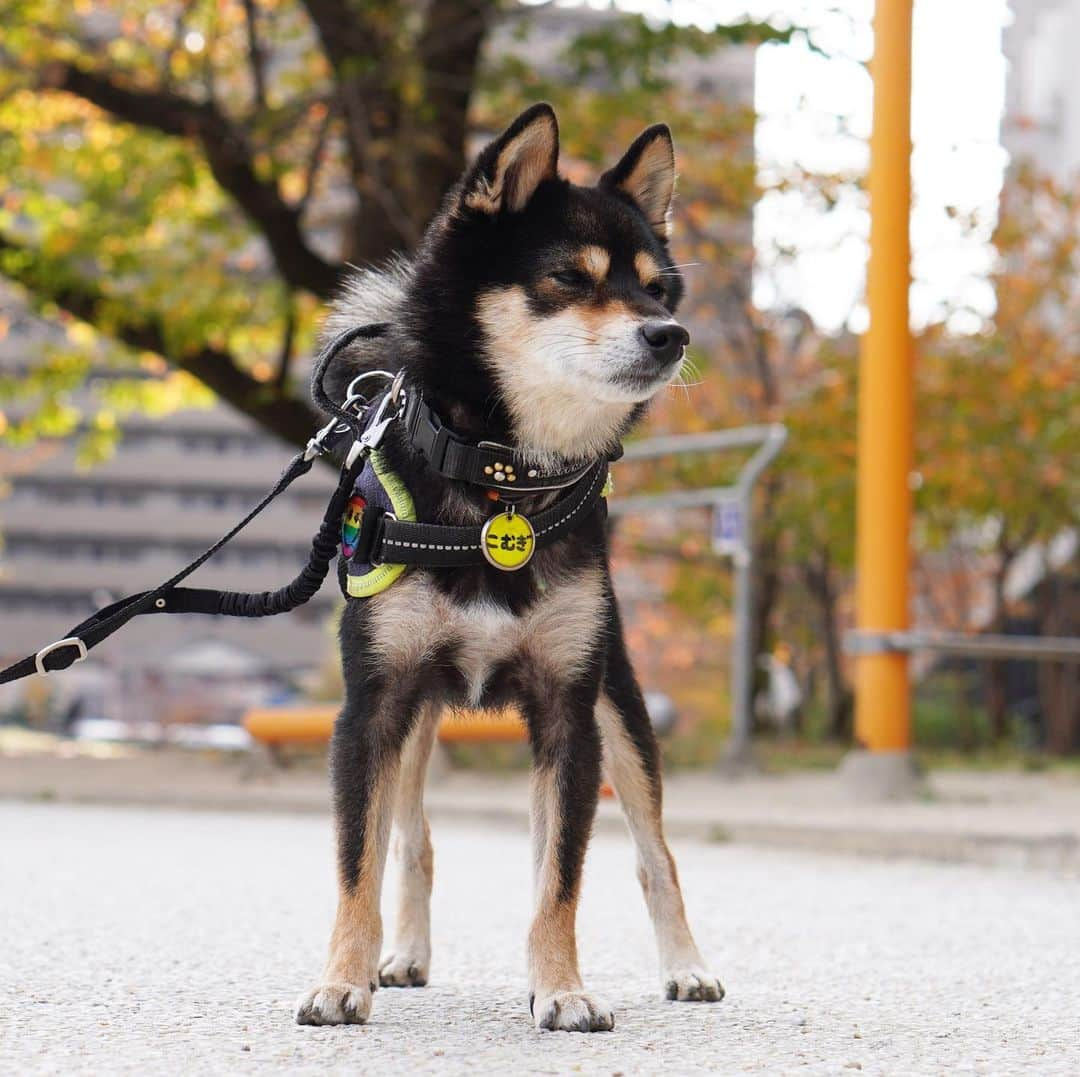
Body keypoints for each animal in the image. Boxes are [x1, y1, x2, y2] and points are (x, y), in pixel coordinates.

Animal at [295, 103, 721, 1032]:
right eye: (568, 277)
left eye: (655, 288)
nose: (669, 334)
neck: (503, 482)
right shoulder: (372, 707)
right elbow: (356, 861)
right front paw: (341, 977)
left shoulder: (569, 711)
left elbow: (560, 879)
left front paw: (561, 987)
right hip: (418, 716)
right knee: (413, 838)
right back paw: (403, 955)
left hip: (620, 705)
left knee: (650, 854)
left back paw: (686, 965)